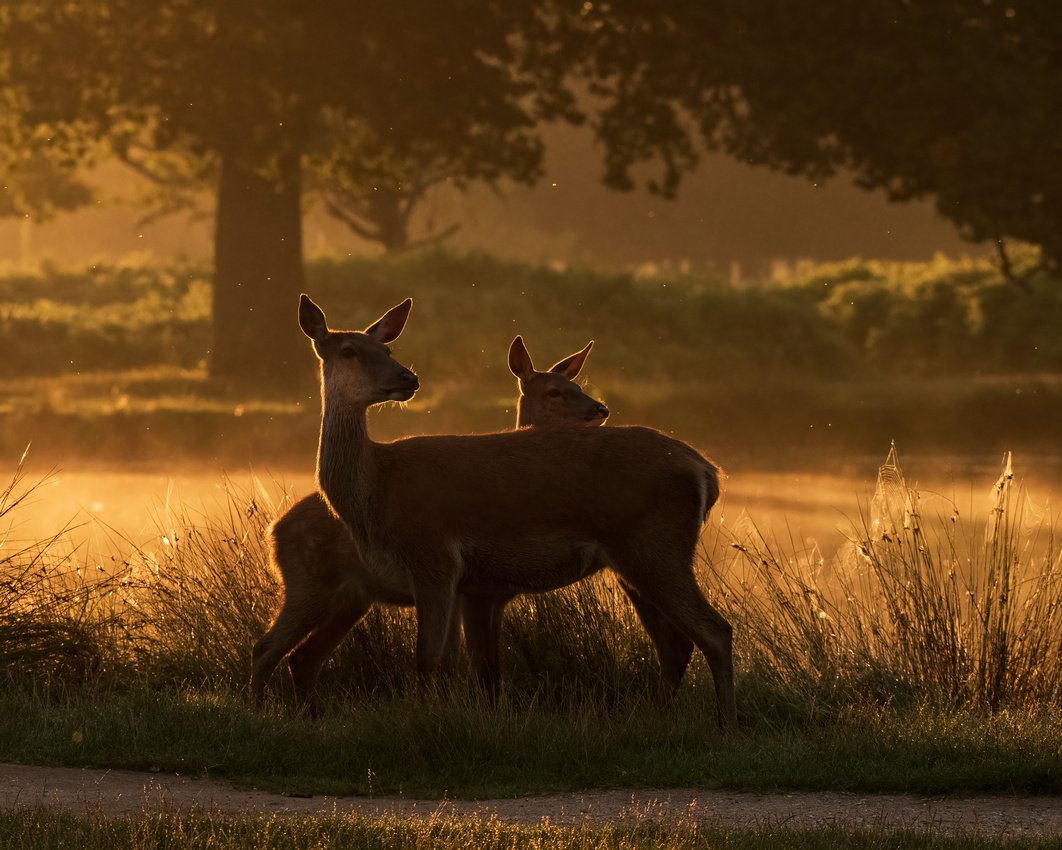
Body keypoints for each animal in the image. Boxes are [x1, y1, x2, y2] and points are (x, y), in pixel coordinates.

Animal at [249, 331, 611, 709]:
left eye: (577, 384)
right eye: (555, 391)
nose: (600, 410)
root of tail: (273, 530)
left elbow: (458, 662)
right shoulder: (467, 588)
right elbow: (464, 663)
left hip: (350, 598)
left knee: (302, 657)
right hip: (310, 584)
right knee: (267, 648)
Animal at [295, 293, 734, 731]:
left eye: (387, 350)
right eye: (348, 350)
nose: (408, 378)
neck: (374, 495)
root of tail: (707, 471)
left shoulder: (435, 557)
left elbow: (428, 658)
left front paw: (427, 718)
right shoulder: (466, 582)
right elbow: (463, 664)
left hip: (655, 546)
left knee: (715, 630)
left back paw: (727, 725)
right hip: (634, 561)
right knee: (675, 643)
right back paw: (657, 718)